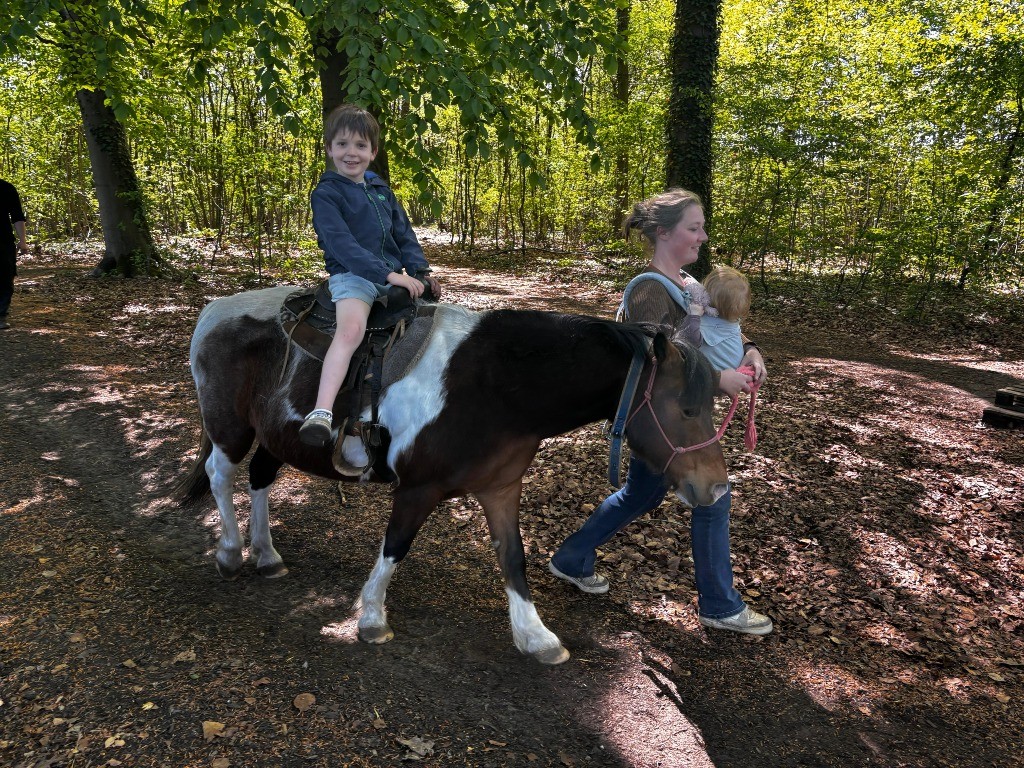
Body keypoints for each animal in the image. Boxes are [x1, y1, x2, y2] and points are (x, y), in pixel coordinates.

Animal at [175, 286, 729, 664]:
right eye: (685, 408)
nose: (716, 487)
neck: (497, 388)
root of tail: (214, 309)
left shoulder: (501, 488)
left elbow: (513, 557)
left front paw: (535, 636)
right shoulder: (419, 488)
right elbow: (395, 546)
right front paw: (372, 617)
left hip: (276, 438)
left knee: (260, 478)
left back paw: (266, 555)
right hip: (231, 429)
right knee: (221, 475)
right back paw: (231, 553)